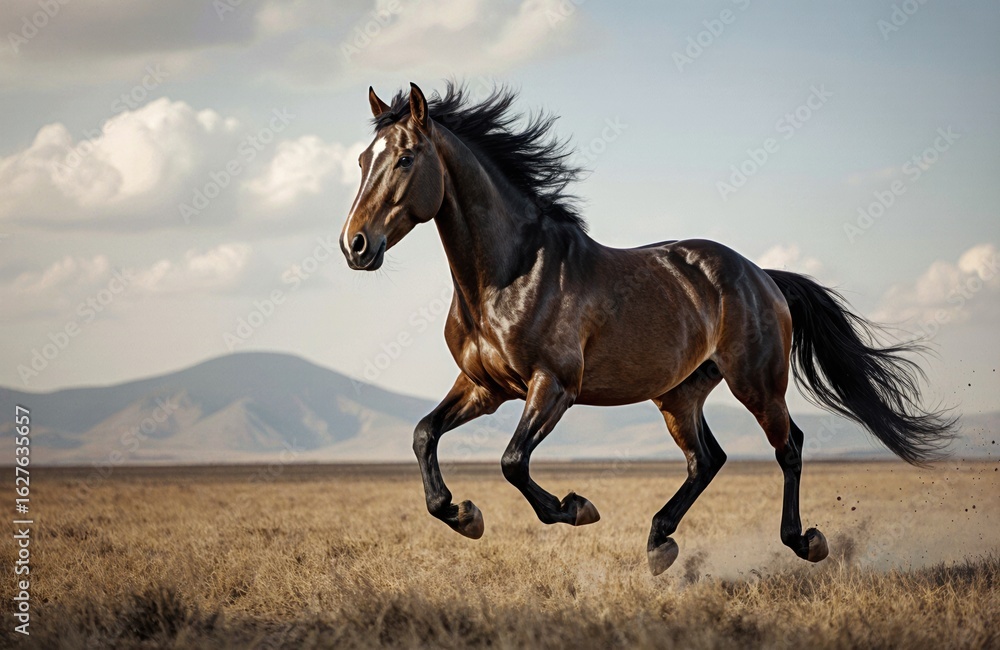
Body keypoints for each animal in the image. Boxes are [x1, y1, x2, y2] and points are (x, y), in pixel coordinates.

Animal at [338, 82, 954, 575]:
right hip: (679, 393)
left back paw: (805, 542)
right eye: (364, 160)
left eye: (405, 159)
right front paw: (464, 514)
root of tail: (763, 276)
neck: (507, 276)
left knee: (789, 447)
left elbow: (513, 461)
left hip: (757, 383)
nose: (355, 246)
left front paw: (576, 508)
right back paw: (660, 543)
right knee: (707, 459)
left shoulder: (553, 386)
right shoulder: (484, 387)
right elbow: (424, 434)